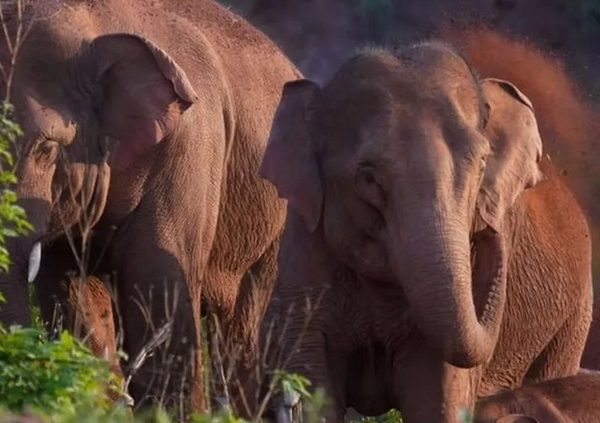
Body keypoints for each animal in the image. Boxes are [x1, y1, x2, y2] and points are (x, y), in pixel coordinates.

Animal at [0, 0, 300, 418]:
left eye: (46, 148)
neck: (91, 21)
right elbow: (72, 293)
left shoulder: (187, 148)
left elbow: (160, 285)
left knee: (248, 324)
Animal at [255, 40, 592, 423]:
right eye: (367, 177)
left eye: (481, 163)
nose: (490, 227)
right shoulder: (304, 252)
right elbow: (315, 383)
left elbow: (436, 392)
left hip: (573, 319)